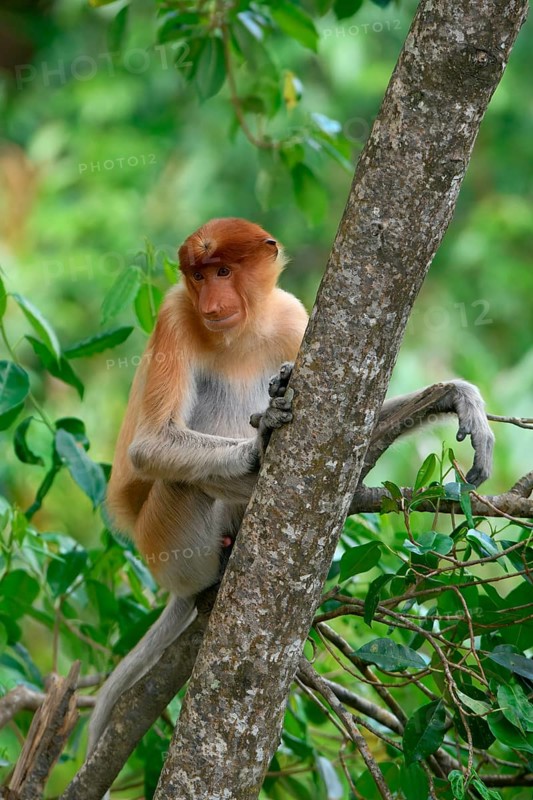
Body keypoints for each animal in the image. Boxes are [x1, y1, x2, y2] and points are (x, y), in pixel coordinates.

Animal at [88, 217, 494, 753]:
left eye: (222, 271)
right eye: (198, 276)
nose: (210, 304)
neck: (240, 333)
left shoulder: (291, 317)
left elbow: (352, 425)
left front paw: (455, 396)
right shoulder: (175, 315)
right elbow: (149, 444)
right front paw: (260, 440)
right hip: (165, 543)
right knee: (184, 484)